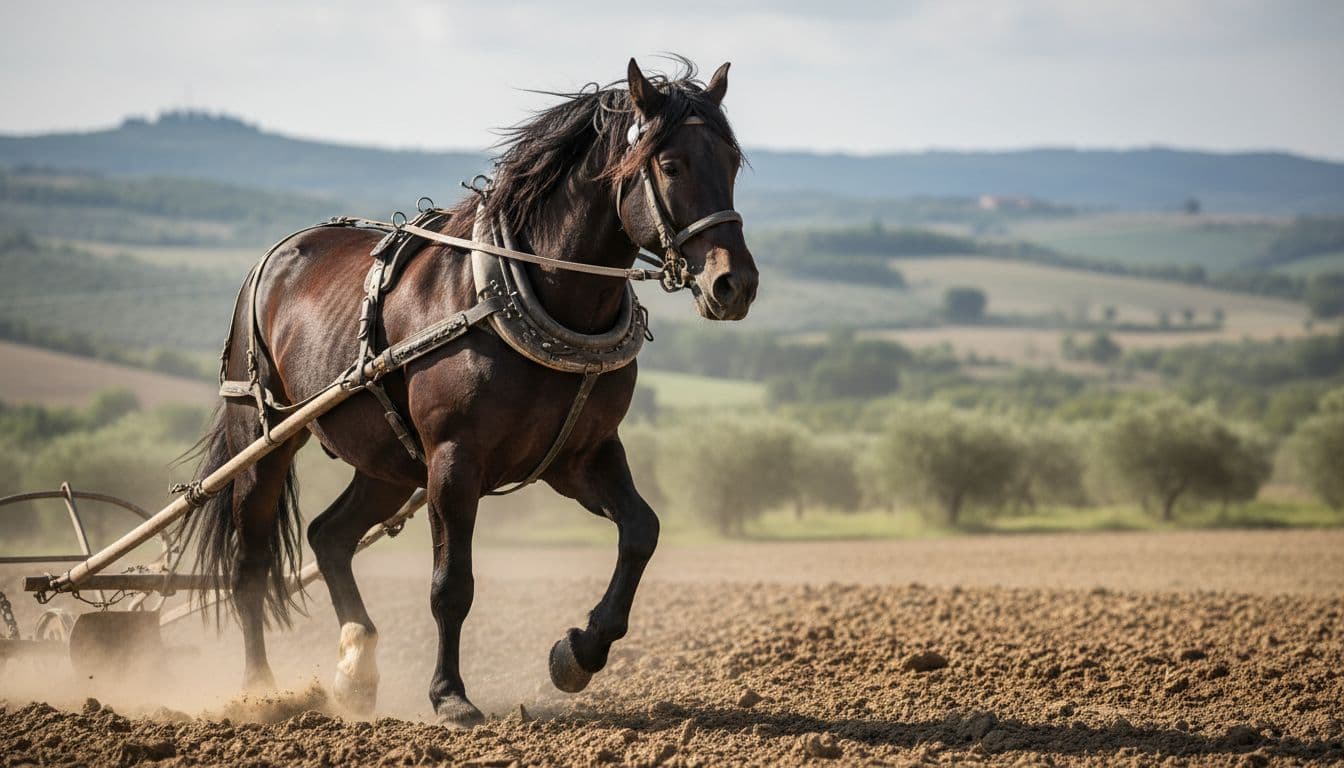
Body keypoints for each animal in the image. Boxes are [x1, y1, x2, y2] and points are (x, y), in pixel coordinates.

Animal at [186, 57, 758, 725]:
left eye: (731, 162)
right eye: (670, 165)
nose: (735, 284)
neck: (528, 289)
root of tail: (275, 258)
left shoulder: (581, 456)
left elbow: (642, 530)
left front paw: (578, 652)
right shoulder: (455, 459)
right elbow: (451, 585)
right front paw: (450, 695)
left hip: (388, 461)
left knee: (329, 535)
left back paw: (356, 668)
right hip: (263, 437)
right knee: (250, 565)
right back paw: (261, 691)